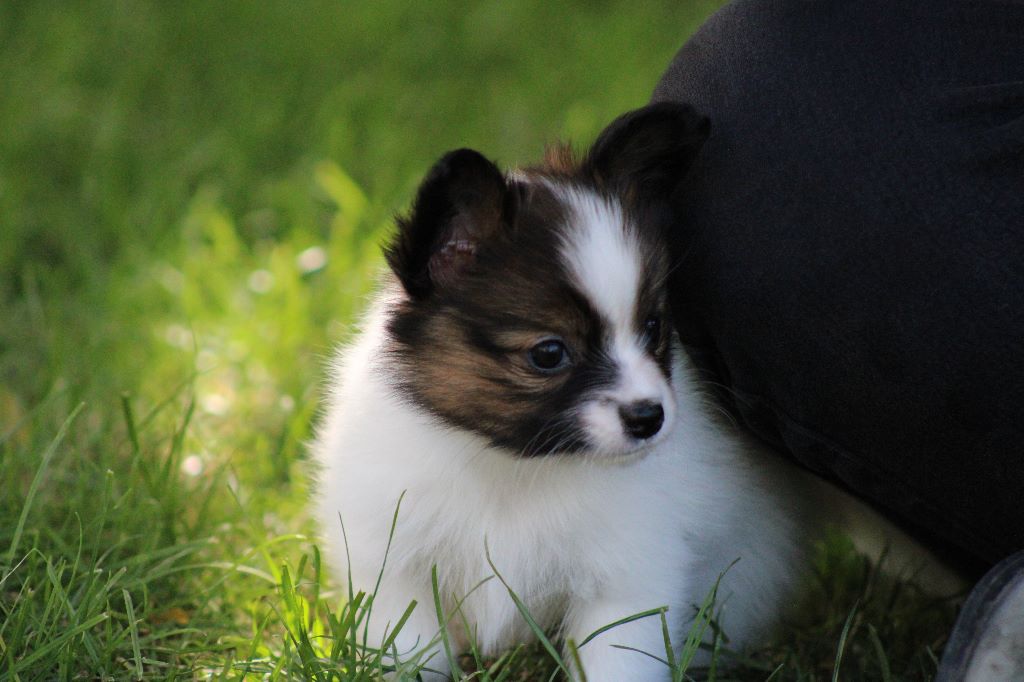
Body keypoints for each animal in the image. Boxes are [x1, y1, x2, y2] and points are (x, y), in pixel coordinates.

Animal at [309, 103, 823, 675]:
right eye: (549, 354)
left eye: (652, 327)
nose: (649, 417)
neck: (513, 467)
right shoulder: (400, 573)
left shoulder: (624, 586)